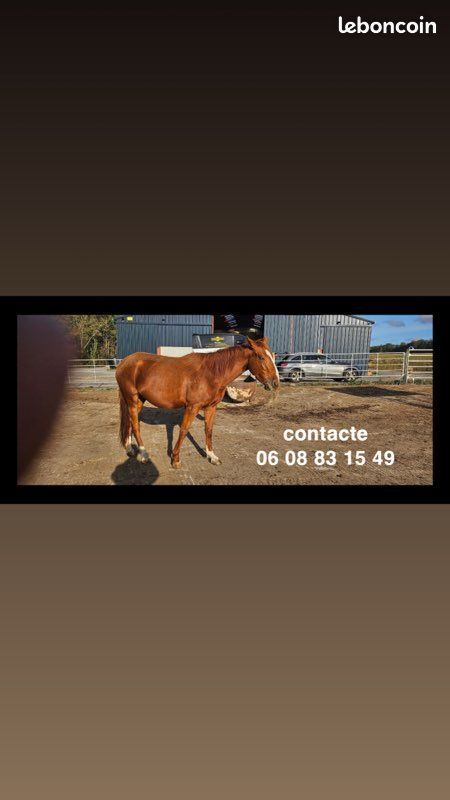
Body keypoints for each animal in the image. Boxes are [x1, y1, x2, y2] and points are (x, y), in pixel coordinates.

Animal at [115, 337, 280, 469]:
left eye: (272, 356)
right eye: (260, 357)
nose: (275, 383)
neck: (211, 373)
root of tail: (124, 362)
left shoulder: (211, 407)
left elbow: (209, 430)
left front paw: (212, 456)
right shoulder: (192, 407)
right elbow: (183, 430)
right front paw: (175, 459)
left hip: (139, 400)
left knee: (130, 422)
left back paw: (130, 449)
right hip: (132, 399)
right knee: (135, 425)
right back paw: (143, 454)